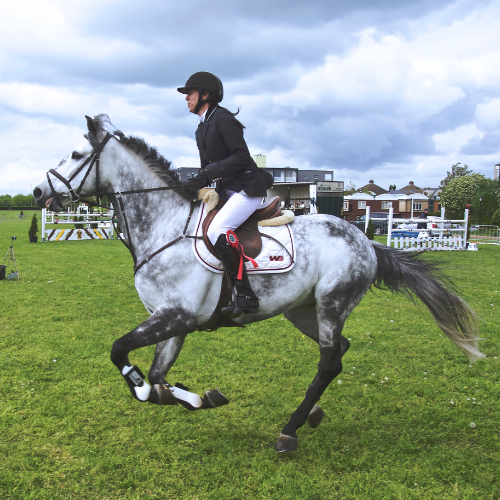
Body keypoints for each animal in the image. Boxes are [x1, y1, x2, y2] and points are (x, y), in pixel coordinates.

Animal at [32, 115, 484, 452]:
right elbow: (158, 380)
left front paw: (166, 390)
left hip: (332, 303)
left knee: (328, 361)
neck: (164, 226)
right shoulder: (173, 321)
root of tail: (366, 240)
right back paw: (310, 415)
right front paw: (198, 397)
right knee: (338, 351)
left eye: (76, 154)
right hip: (303, 311)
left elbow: (122, 354)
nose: (38, 191)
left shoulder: (176, 316)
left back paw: (290, 430)